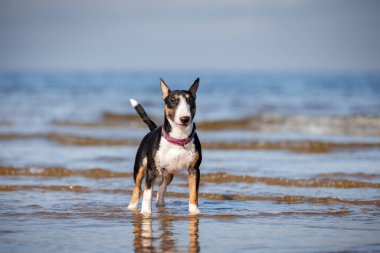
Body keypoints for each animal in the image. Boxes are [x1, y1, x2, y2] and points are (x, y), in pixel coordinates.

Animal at [127, 77, 202, 215]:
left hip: (169, 173)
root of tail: (153, 129)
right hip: (140, 166)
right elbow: (147, 192)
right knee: (138, 188)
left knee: (162, 187)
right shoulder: (151, 170)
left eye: (190, 100)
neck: (178, 139)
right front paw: (146, 212)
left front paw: (194, 212)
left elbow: (194, 192)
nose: (185, 118)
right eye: (173, 100)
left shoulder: (194, 169)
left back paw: (160, 204)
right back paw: (132, 207)